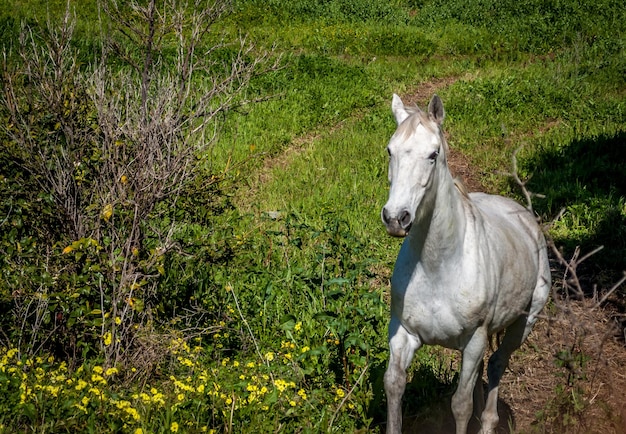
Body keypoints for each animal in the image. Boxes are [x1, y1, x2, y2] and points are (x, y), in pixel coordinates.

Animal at [378, 94, 548, 434]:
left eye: (433, 154)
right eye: (390, 150)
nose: (395, 217)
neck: (438, 267)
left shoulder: (473, 340)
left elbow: (460, 405)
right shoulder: (404, 333)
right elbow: (394, 384)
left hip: (524, 323)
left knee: (496, 364)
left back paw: (489, 421)